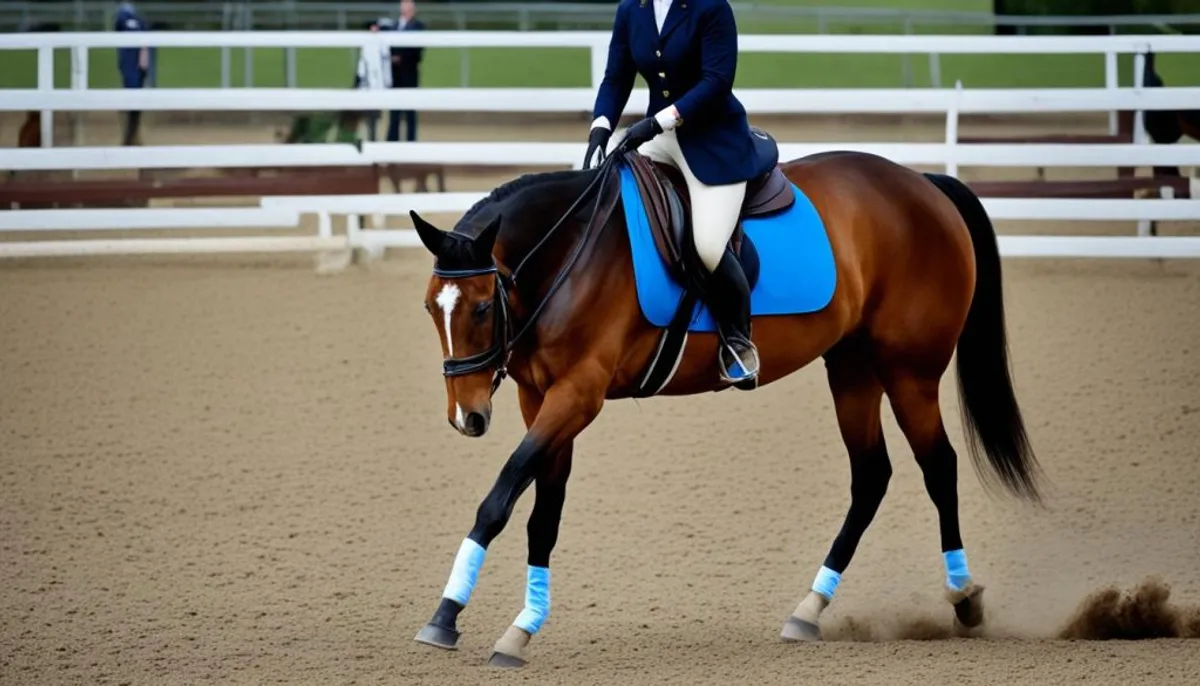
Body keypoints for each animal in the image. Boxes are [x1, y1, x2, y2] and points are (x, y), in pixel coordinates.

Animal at [400, 128, 1041, 666]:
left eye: (483, 308)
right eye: (431, 308)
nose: (467, 416)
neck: (571, 251)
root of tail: (922, 184)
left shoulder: (578, 396)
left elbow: (501, 495)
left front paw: (447, 614)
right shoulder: (542, 399)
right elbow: (542, 515)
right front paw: (521, 626)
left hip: (910, 372)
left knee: (938, 467)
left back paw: (963, 598)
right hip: (852, 368)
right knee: (871, 477)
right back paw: (809, 609)